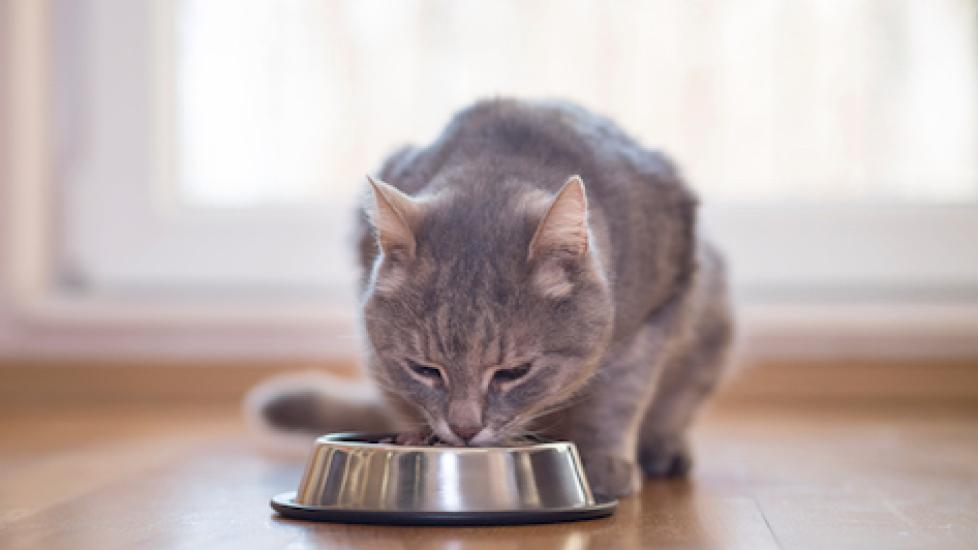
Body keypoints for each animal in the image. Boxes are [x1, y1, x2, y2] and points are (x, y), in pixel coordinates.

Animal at [252, 99, 732, 500]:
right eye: (425, 369)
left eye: (514, 372)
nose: (465, 429)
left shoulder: (655, 313)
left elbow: (619, 395)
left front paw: (602, 464)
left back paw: (664, 449)